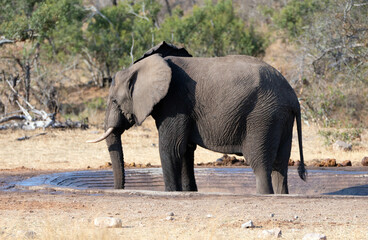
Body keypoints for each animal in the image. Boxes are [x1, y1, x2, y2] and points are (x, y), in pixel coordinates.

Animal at [87, 41, 306, 195]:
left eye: (114, 100)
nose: (119, 189)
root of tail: (293, 97)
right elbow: (185, 150)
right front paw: (188, 192)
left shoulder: (175, 103)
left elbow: (171, 148)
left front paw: (171, 193)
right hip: (280, 117)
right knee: (280, 166)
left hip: (262, 116)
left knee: (260, 164)